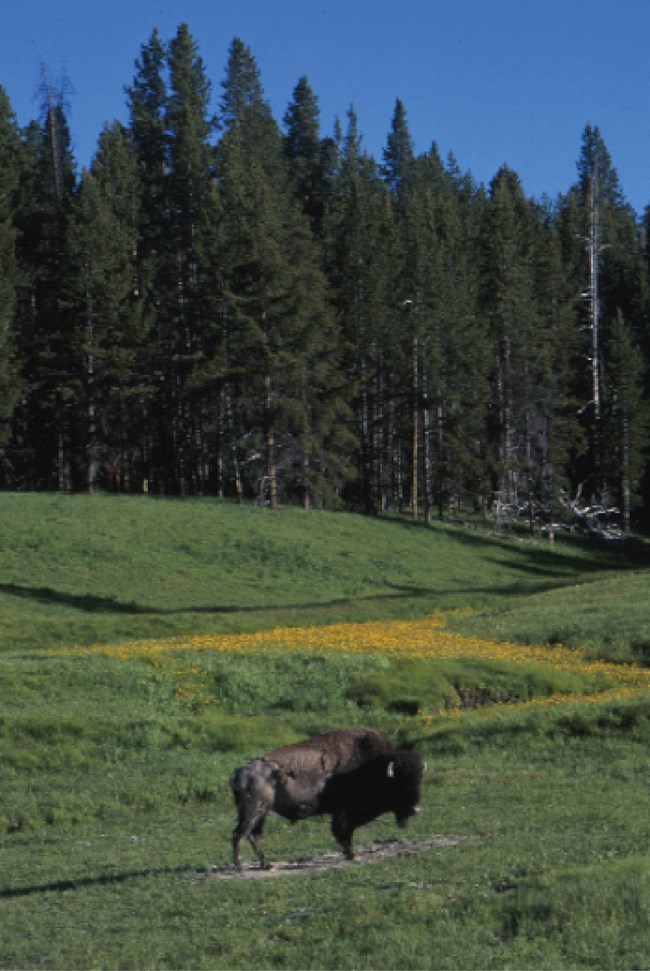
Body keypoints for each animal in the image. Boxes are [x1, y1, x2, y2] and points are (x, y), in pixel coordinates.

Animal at [229, 728, 426, 872]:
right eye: (402, 784)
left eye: (418, 781)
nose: (416, 809)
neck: (372, 767)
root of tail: (239, 772)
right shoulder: (344, 813)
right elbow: (344, 832)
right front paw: (353, 855)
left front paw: (351, 854)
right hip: (254, 811)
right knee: (240, 834)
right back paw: (240, 867)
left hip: (261, 813)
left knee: (253, 835)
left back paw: (267, 865)